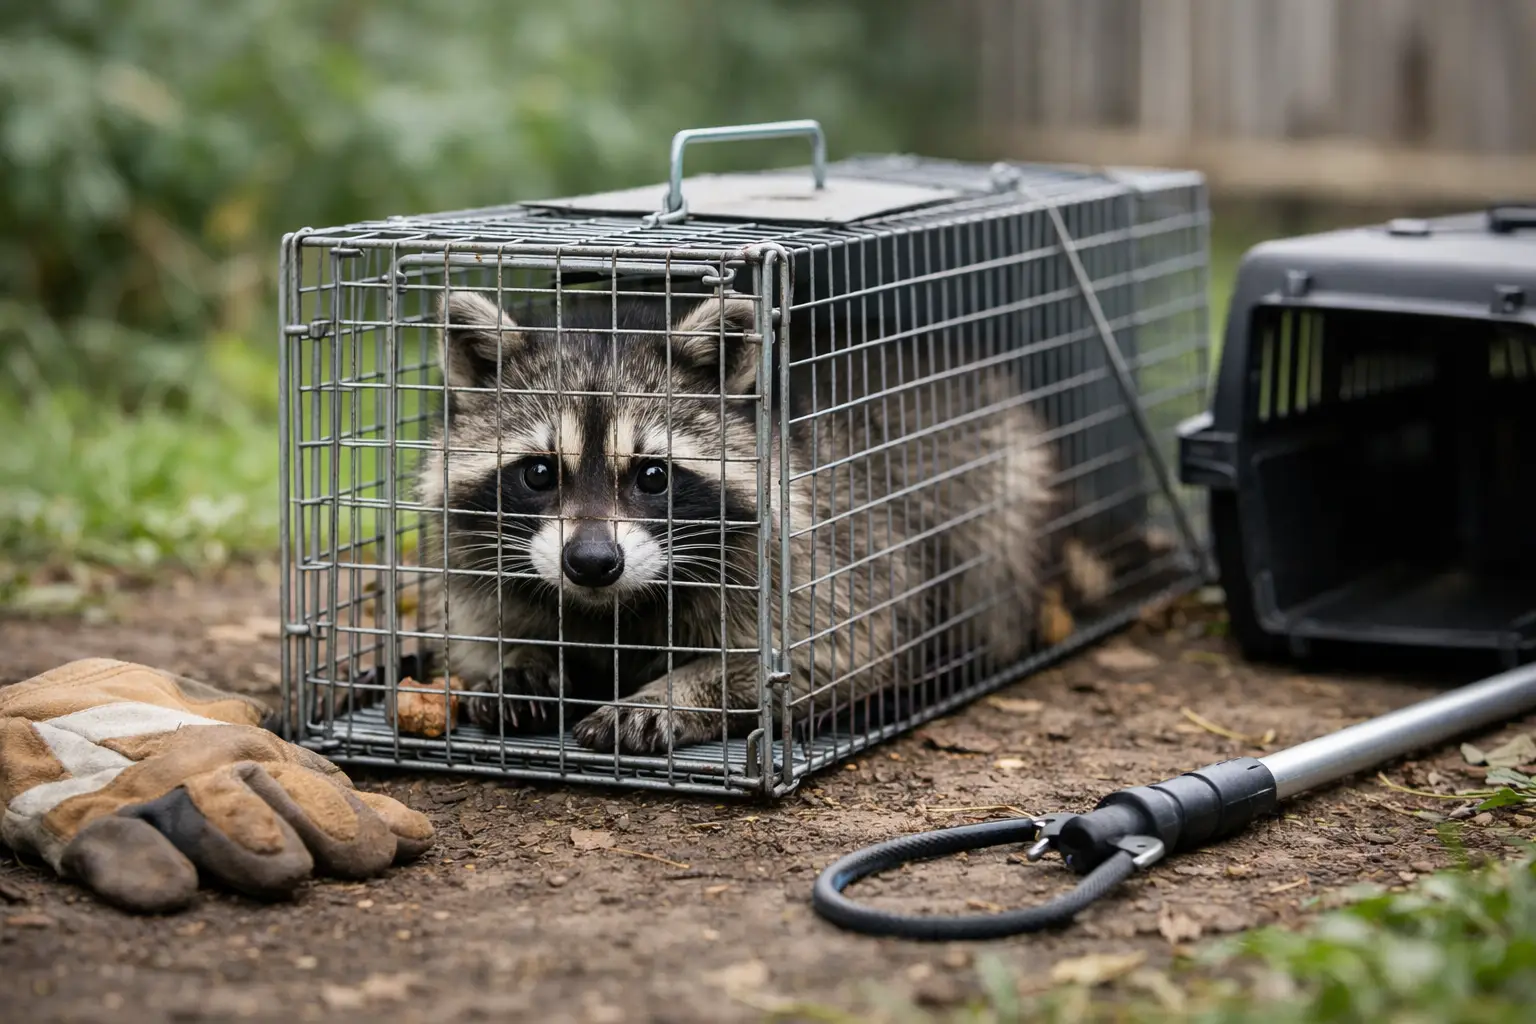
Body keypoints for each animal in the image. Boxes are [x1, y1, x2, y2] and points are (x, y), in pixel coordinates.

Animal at [412, 285, 1126, 755]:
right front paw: (520, 658)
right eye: (538, 473)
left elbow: (831, 652)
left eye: (653, 476)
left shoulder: (823, 546)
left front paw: (674, 692)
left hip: (1003, 479)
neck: (615, 604)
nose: (591, 563)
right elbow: (480, 631)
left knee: (991, 579)